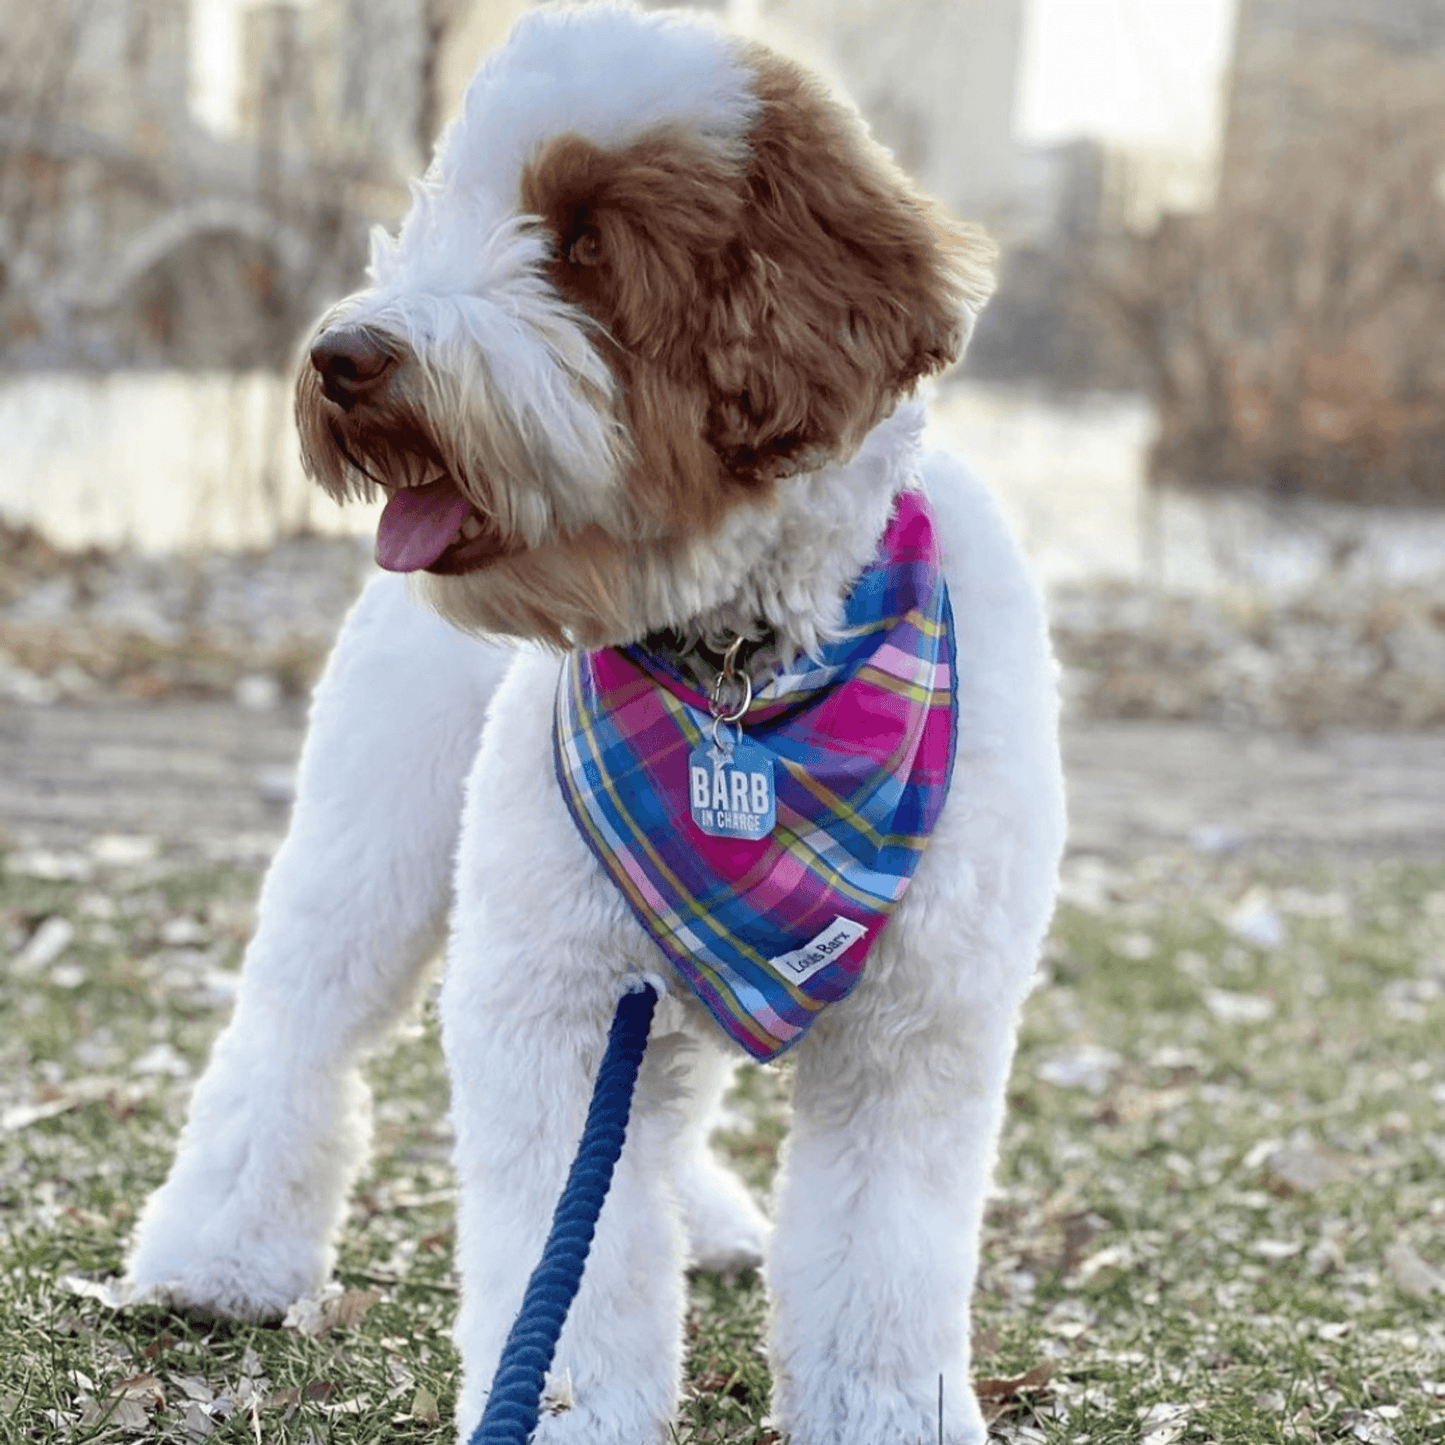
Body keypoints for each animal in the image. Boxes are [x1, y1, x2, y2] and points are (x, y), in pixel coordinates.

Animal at [124, 5, 1069, 1439]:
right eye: (444, 207)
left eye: (578, 244)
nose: (344, 356)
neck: (741, 672)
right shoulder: (557, 999)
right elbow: (570, 1272)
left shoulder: (916, 1033)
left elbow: (879, 1265)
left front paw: (886, 1410)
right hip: (377, 836)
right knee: (296, 1024)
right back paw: (214, 1253)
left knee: (662, 1107)